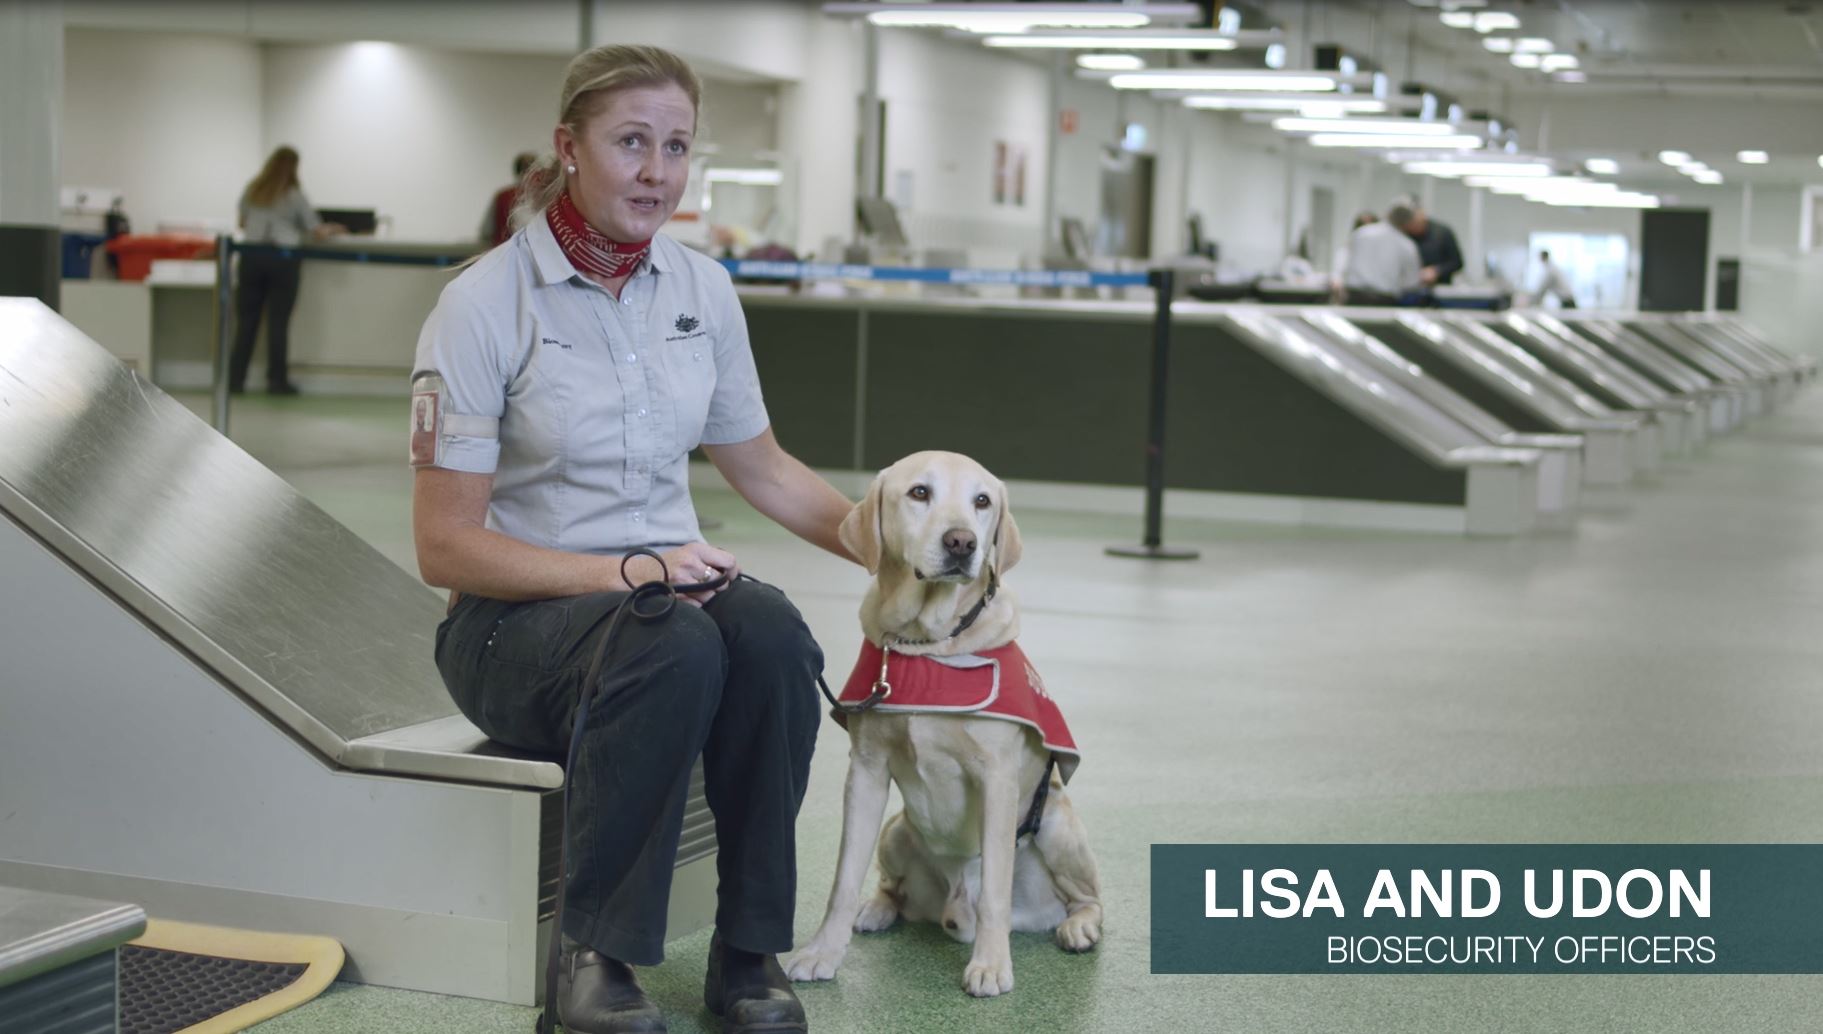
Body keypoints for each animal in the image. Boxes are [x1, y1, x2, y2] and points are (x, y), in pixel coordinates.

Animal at [783, 450, 1093, 992]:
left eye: (982, 501)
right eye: (919, 493)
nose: (962, 542)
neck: (927, 643)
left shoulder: (997, 779)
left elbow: (994, 889)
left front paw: (990, 965)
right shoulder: (865, 773)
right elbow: (844, 879)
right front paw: (822, 952)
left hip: (1056, 824)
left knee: (1086, 900)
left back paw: (1076, 927)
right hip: (896, 830)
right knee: (893, 888)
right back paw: (878, 909)